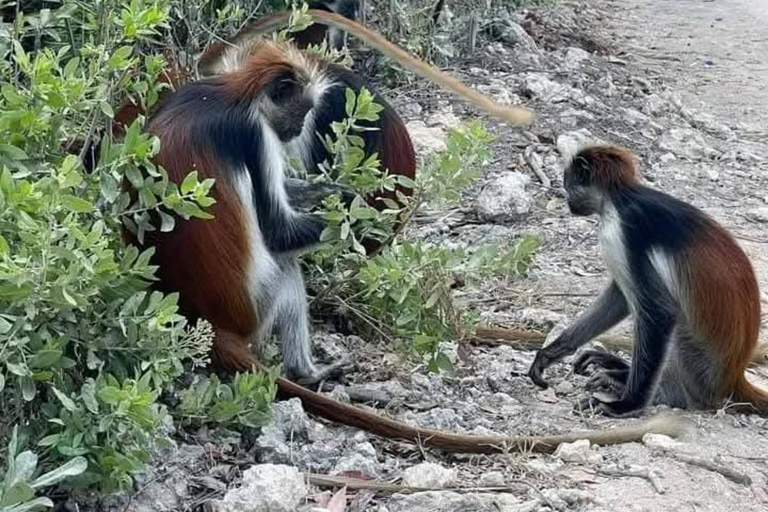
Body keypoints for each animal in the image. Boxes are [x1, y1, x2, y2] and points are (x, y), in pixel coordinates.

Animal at [528, 145, 768, 418]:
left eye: (568, 186)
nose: (569, 203)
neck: (621, 197)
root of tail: (731, 378)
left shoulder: (623, 231)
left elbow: (660, 312)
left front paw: (628, 405)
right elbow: (620, 298)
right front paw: (553, 352)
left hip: (699, 366)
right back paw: (618, 371)